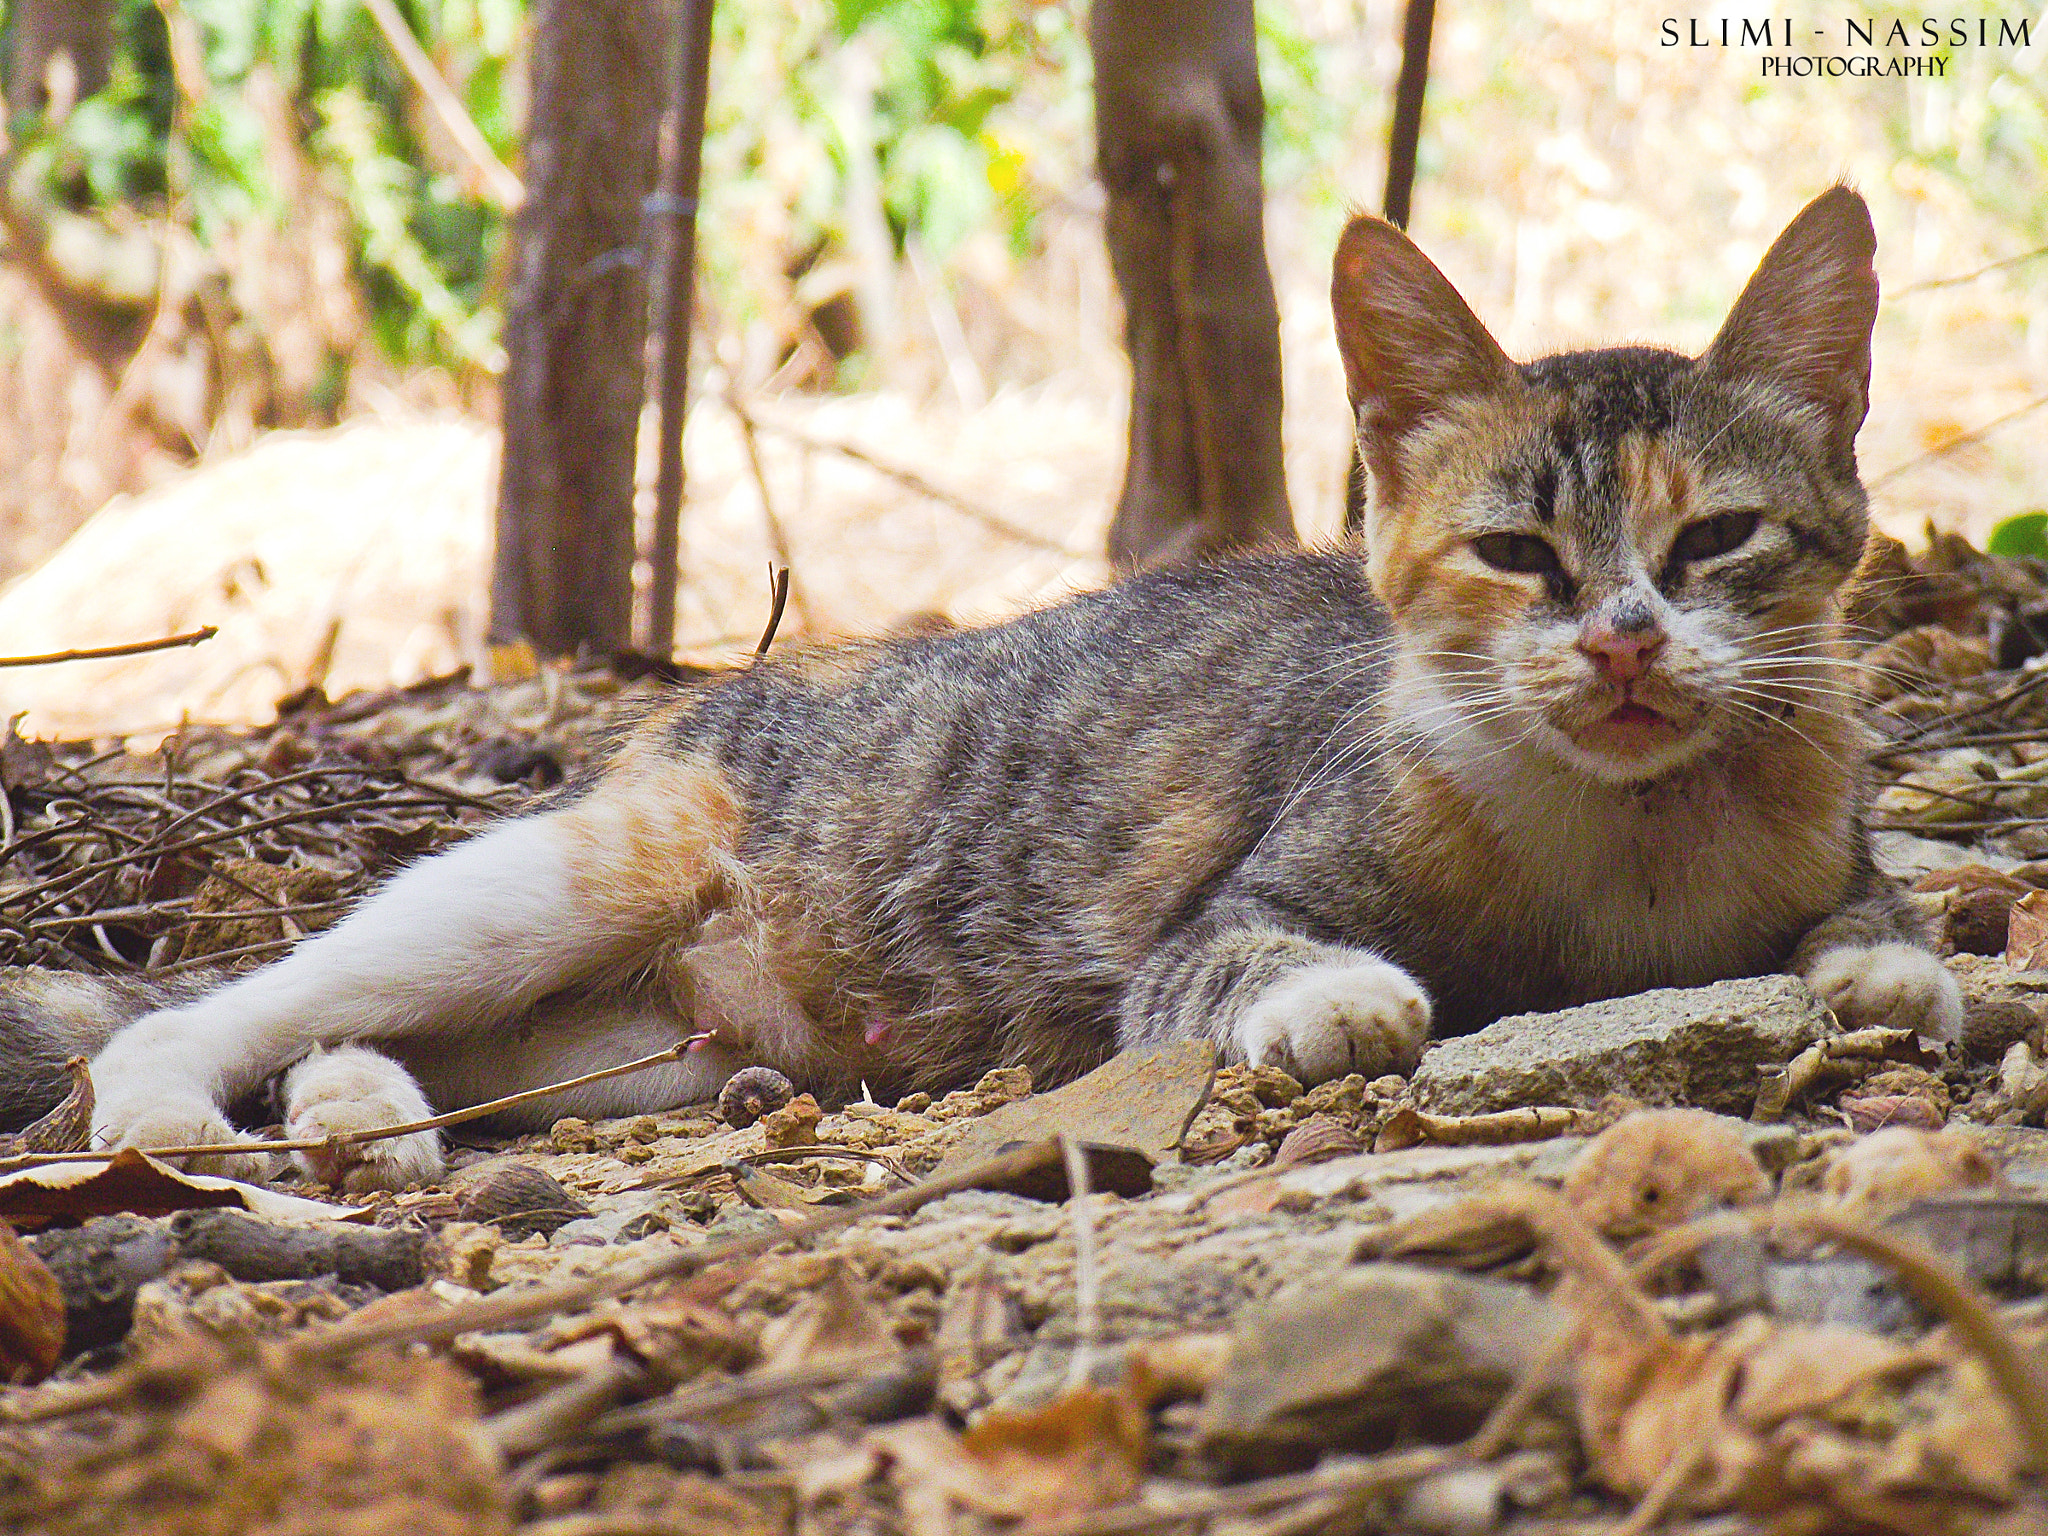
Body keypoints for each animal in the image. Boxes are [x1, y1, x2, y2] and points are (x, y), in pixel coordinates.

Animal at [0, 186, 1949, 1196]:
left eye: (1713, 541)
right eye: (1516, 556)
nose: (1620, 640)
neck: (1631, 835)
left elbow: (1876, 916)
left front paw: (1885, 966)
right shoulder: (1212, 915)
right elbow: (1247, 957)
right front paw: (1335, 1000)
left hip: (622, 1062)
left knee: (416, 1047)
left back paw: (363, 1105)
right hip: (557, 881)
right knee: (226, 1003)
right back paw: (179, 1118)